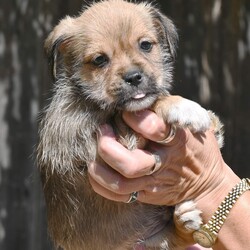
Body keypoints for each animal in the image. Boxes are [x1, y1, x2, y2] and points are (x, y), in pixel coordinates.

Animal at [38, 0, 224, 249]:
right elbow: (152, 101)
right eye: (99, 60)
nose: (134, 77)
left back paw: (183, 221)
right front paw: (184, 107)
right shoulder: (117, 138)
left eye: (145, 45)